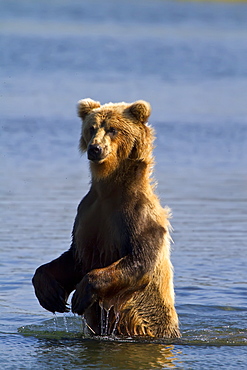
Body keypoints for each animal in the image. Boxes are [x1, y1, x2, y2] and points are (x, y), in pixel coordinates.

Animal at [32, 99, 179, 338]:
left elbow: (140, 260)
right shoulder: (88, 214)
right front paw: (50, 293)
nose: (95, 148)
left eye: (113, 129)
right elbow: (74, 257)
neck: (110, 189)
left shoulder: (137, 214)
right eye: (92, 128)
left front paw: (80, 294)